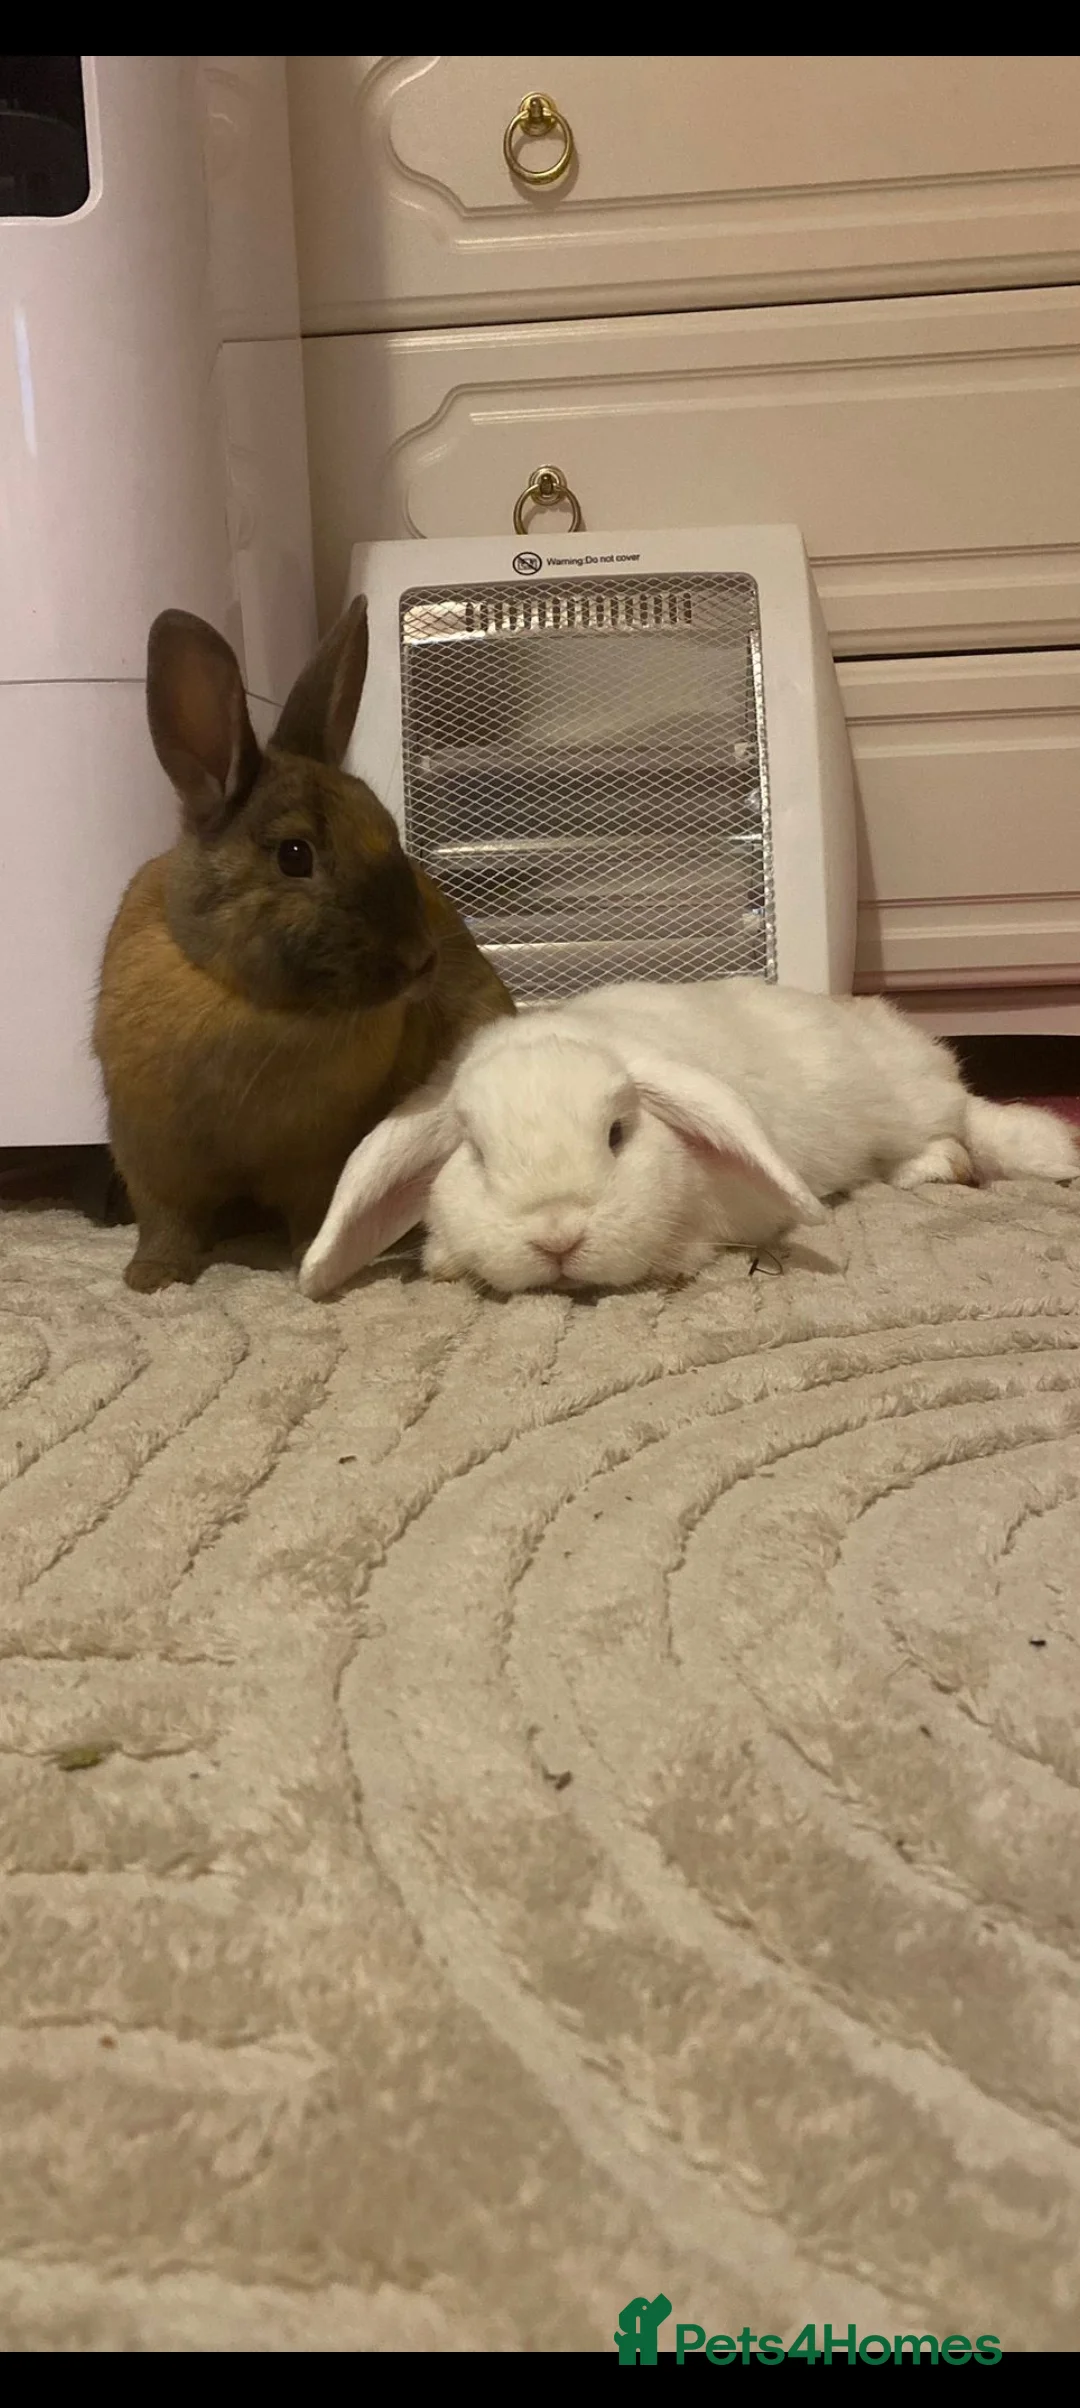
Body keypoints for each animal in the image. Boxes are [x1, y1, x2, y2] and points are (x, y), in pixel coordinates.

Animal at [93, 599, 513, 1290]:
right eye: (295, 855)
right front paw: (152, 1278)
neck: (244, 1001)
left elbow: (313, 1212)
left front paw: (302, 1259)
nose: (422, 960)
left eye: (390, 834)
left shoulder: (318, 1160)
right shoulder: (152, 1154)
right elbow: (164, 1221)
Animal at [298, 976, 1080, 1300]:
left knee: (964, 1118)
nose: (557, 1236)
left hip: (907, 1098)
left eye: (617, 1134)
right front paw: (448, 1263)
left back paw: (1002, 1156)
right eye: (477, 1154)